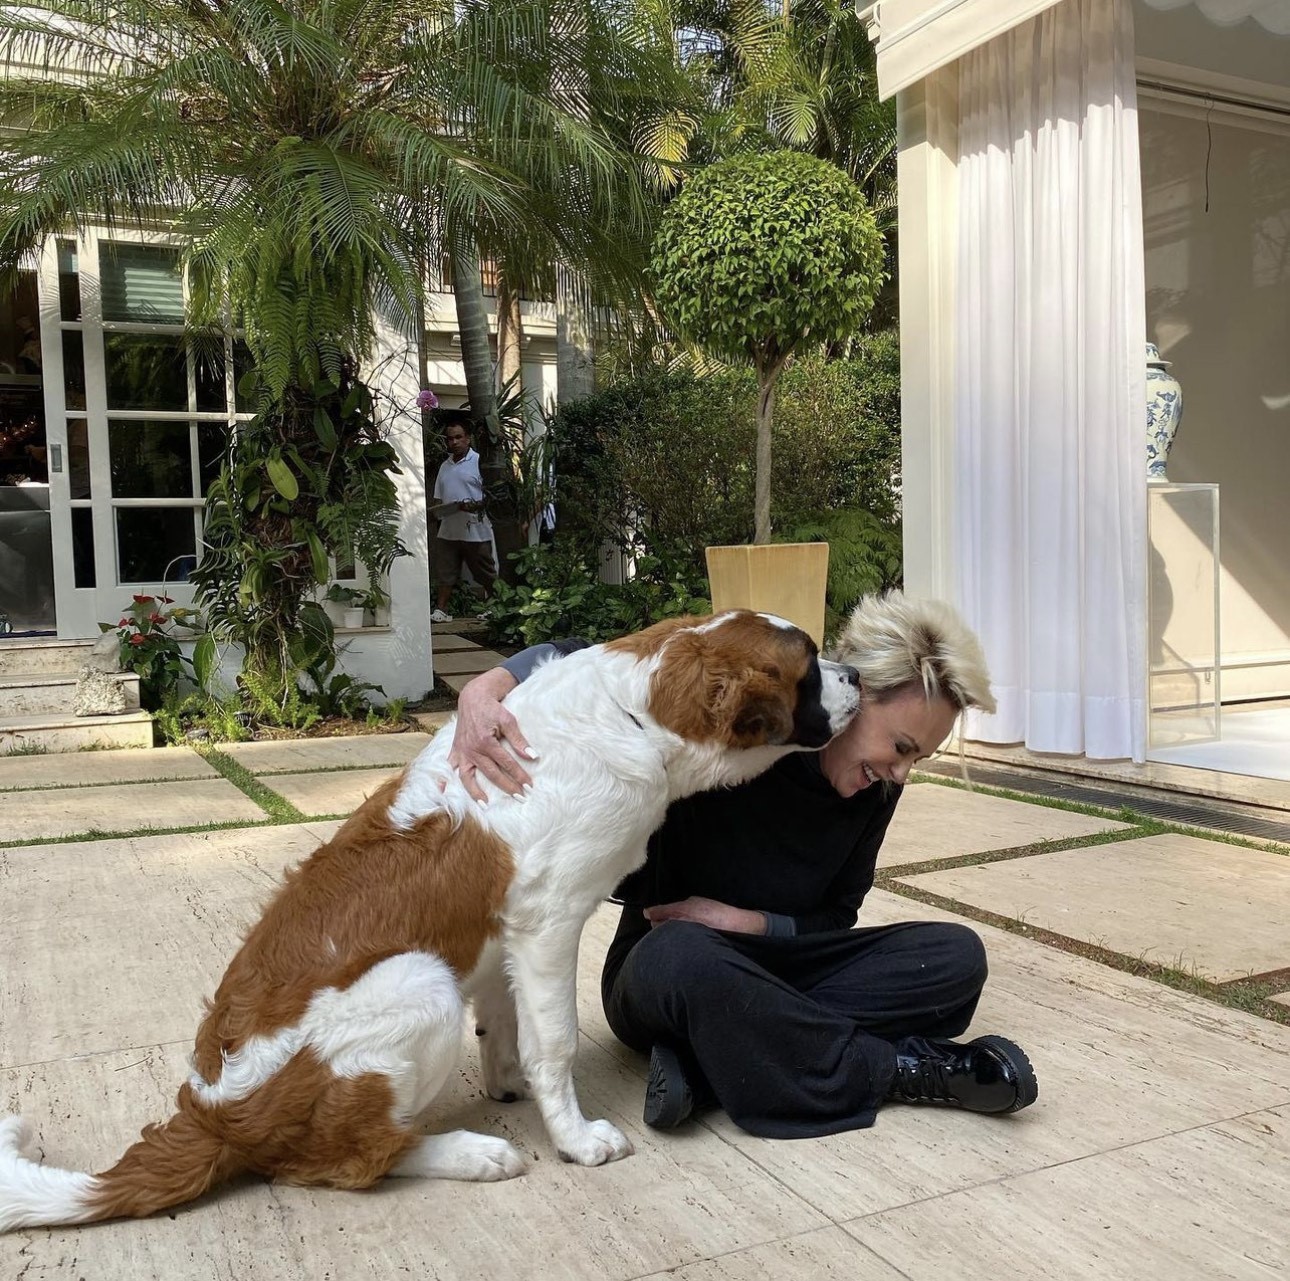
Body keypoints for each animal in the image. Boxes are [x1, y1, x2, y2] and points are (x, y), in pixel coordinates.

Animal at [5, 608, 861, 1228]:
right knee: (348, 1160)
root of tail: (214, 1114)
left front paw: (509, 1080)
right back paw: (472, 1154)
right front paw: (574, 1136)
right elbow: (554, 1039)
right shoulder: (550, 922)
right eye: (809, 666)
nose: (856, 670)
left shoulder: (509, 934)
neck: (636, 712)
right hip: (419, 982)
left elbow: (507, 1017)